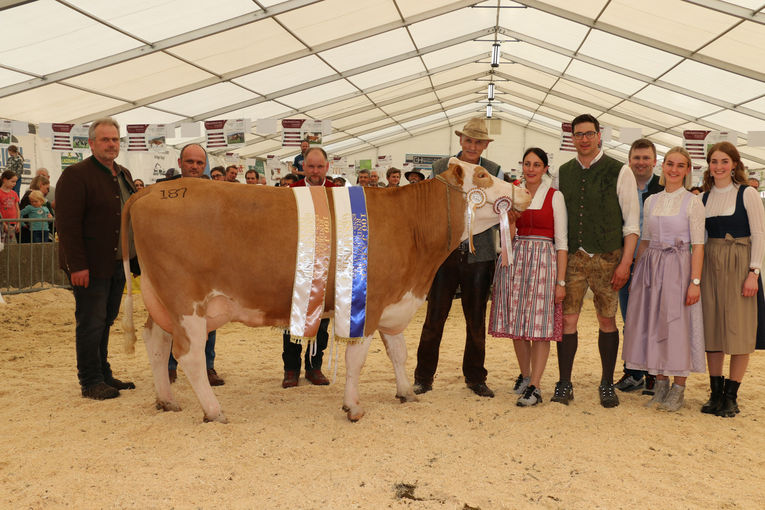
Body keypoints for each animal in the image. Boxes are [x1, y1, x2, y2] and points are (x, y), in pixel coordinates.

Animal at [121, 158, 532, 422]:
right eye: (483, 175)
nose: (525, 191)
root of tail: (154, 191)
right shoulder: (369, 302)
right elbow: (357, 359)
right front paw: (353, 406)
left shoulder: (393, 302)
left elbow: (398, 353)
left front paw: (406, 392)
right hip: (186, 302)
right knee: (188, 355)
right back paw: (214, 410)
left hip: (162, 301)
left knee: (156, 344)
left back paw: (166, 400)